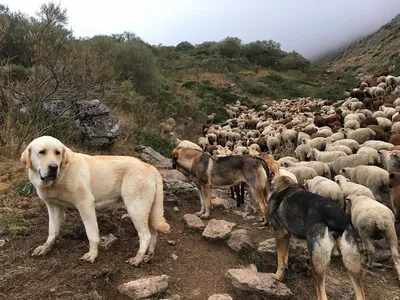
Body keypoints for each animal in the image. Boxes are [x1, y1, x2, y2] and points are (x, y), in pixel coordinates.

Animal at [19, 135, 170, 264]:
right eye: (42, 152)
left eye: (58, 153)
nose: (53, 167)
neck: (62, 175)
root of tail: (150, 167)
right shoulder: (53, 206)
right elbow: (52, 231)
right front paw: (45, 247)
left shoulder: (85, 204)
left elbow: (91, 234)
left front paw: (92, 254)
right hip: (147, 211)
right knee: (154, 233)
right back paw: (148, 256)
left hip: (136, 209)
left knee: (146, 235)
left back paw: (138, 258)